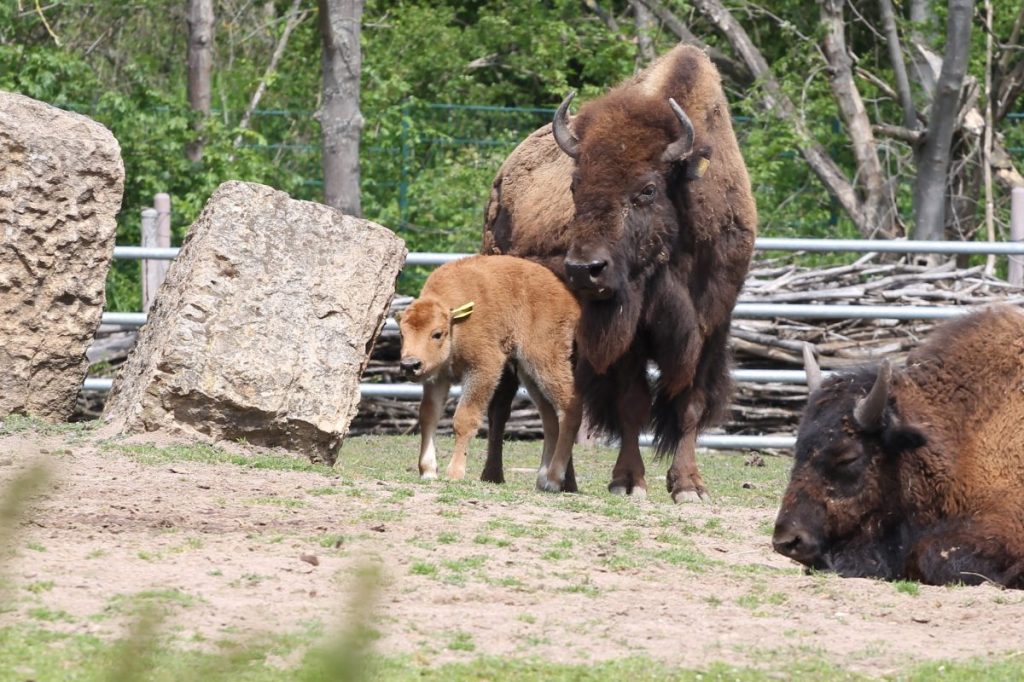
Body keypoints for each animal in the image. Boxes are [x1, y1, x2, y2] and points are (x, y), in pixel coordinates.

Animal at [397, 254, 581, 489]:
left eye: (437, 333)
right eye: (402, 333)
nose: (410, 365)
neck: (456, 321)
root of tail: (568, 298)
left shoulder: (484, 368)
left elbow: (464, 418)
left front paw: (454, 472)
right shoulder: (437, 378)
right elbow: (429, 415)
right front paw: (428, 470)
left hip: (546, 360)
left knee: (570, 408)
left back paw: (553, 480)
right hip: (529, 374)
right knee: (550, 419)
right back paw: (542, 479)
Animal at [483, 42, 757, 499]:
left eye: (647, 189)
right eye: (575, 184)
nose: (583, 270)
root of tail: (502, 178)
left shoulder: (710, 327)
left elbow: (691, 404)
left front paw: (689, 486)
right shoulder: (628, 333)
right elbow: (632, 404)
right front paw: (628, 482)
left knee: (563, 403)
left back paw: (566, 481)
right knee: (503, 398)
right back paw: (493, 474)